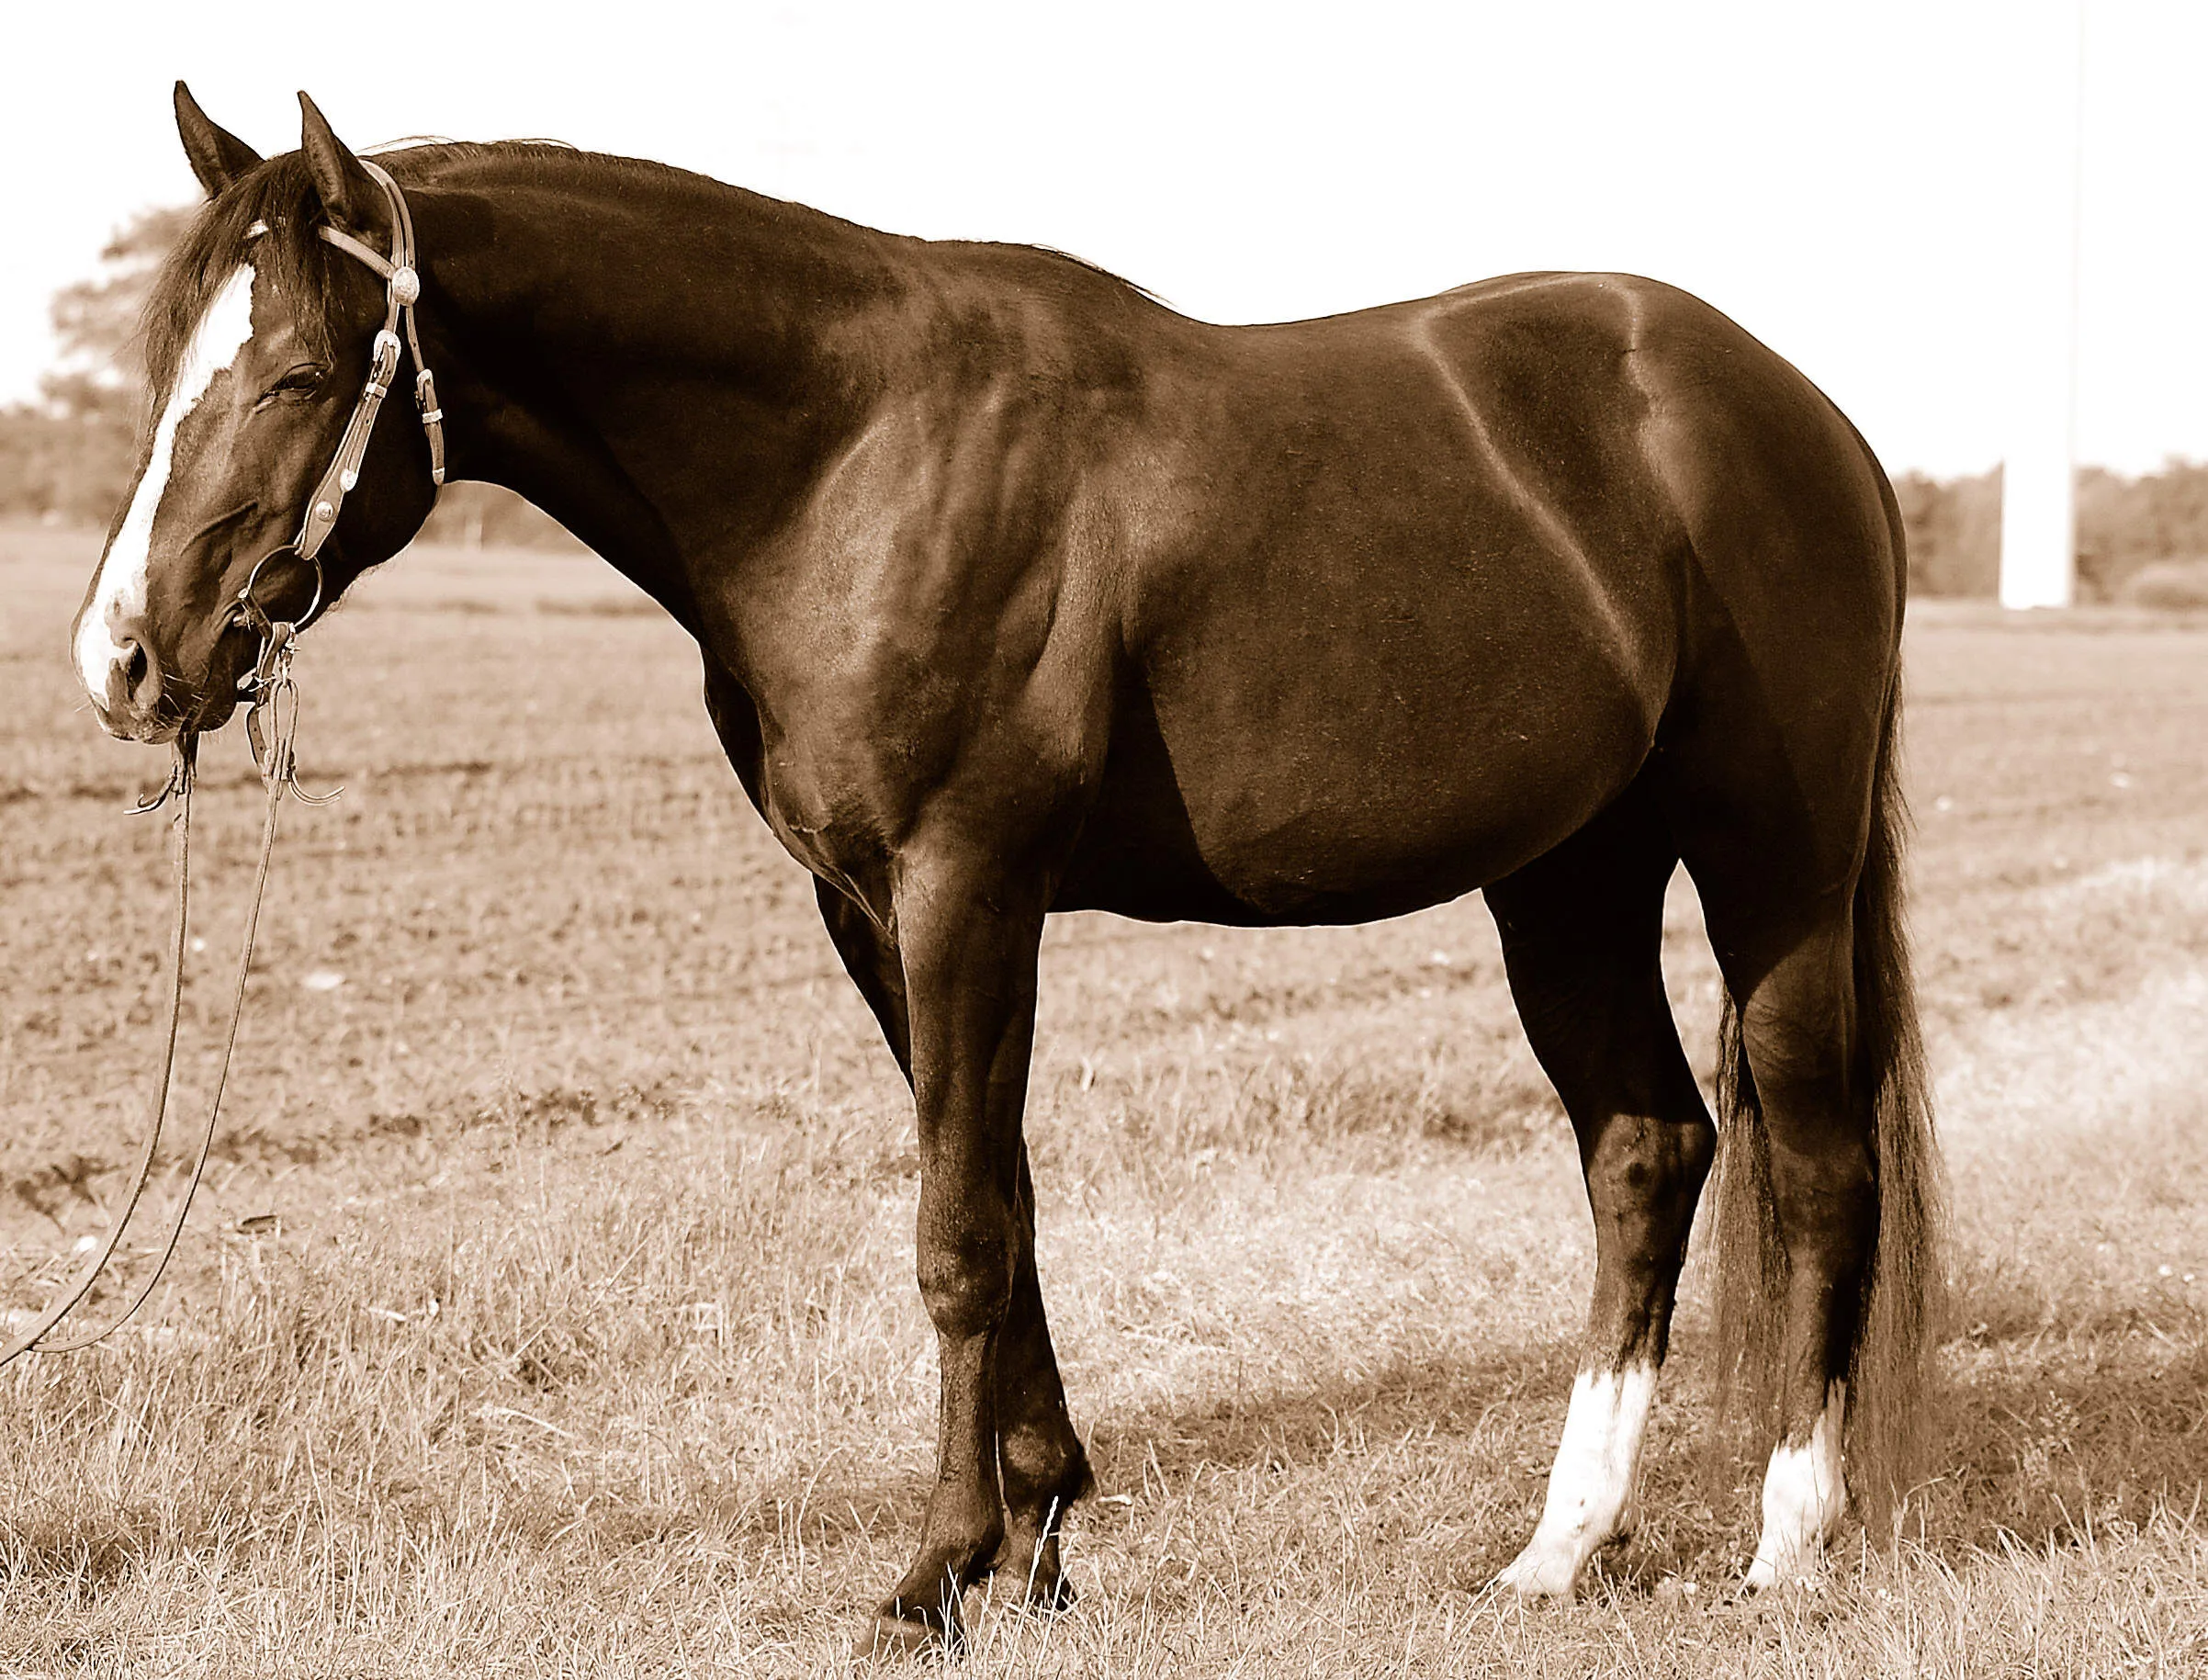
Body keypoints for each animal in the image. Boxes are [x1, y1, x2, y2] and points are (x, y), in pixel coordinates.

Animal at [73, 84, 1943, 1653]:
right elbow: (1009, 1202)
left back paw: (1786, 1538)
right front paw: (1038, 1537)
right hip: (1565, 873)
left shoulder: (967, 886)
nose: (127, 663)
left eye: (295, 377)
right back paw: (1557, 1547)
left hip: (1771, 861)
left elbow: (958, 1227)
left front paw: (937, 1571)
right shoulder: (867, 910)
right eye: (162, 363)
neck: (851, 452)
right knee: (1646, 1147)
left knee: (1813, 1151)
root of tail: (1810, 420)